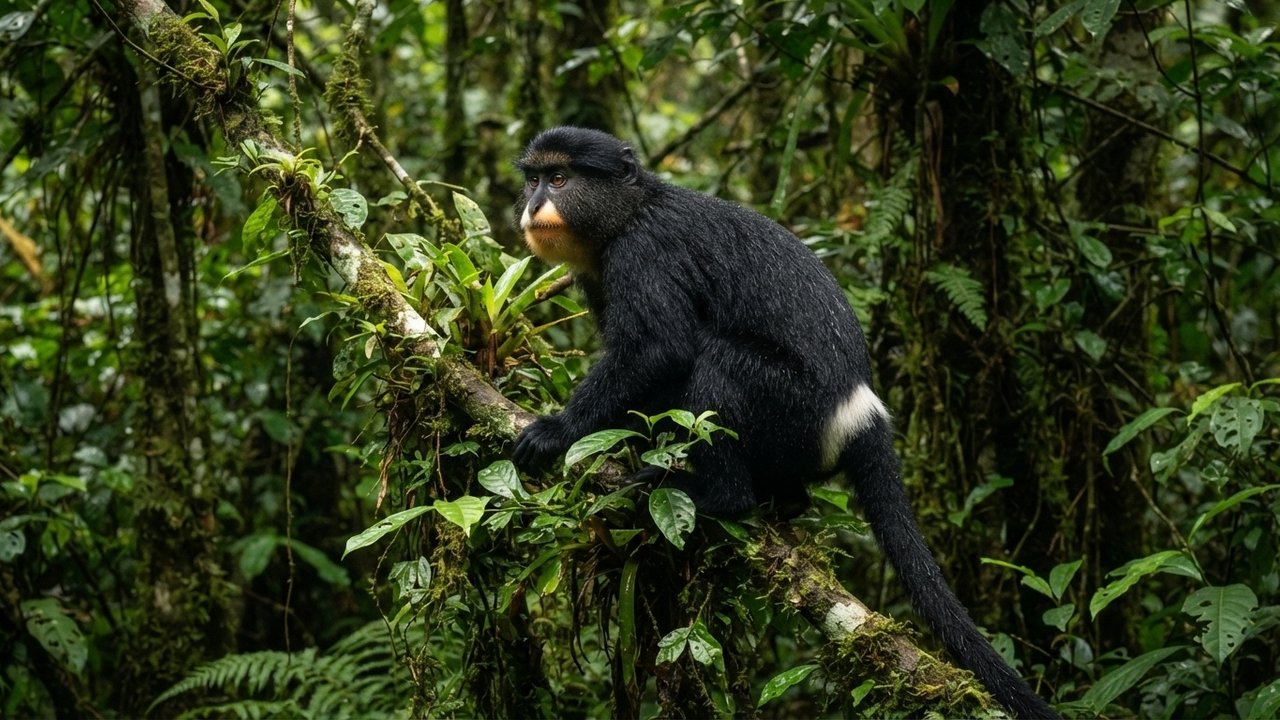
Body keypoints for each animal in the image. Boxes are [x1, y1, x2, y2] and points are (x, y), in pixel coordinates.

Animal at [509, 126, 1057, 719]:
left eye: (560, 178)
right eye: (533, 179)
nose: (534, 205)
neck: (628, 212)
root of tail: (861, 409)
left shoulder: (646, 253)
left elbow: (659, 350)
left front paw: (558, 432)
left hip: (792, 406)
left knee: (716, 363)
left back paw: (717, 495)